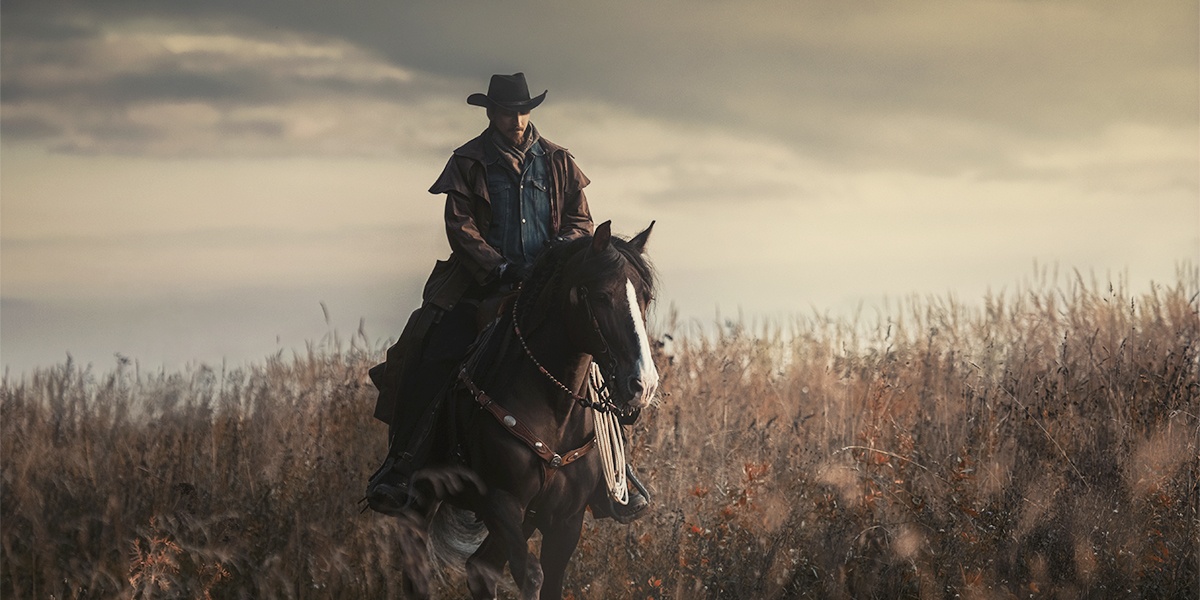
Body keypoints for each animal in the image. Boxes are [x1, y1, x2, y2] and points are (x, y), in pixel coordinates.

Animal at [400, 220, 667, 600]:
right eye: (601, 295)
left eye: (646, 298)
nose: (642, 385)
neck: (555, 409)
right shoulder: (501, 501)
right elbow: (531, 575)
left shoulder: (565, 519)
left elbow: (550, 579)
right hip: (424, 499)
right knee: (419, 571)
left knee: (480, 568)